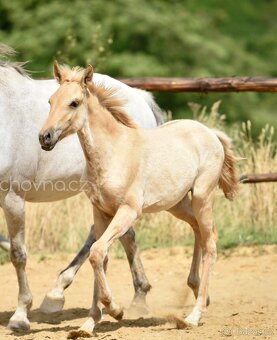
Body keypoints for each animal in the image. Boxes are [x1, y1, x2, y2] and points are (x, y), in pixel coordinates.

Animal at [39, 63, 237, 334]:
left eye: (74, 103)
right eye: (50, 101)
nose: (45, 137)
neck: (113, 153)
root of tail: (211, 134)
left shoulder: (128, 210)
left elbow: (97, 252)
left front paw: (115, 310)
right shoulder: (101, 212)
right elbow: (99, 256)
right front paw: (88, 324)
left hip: (202, 196)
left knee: (211, 243)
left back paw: (193, 315)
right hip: (177, 204)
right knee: (199, 230)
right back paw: (197, 290)